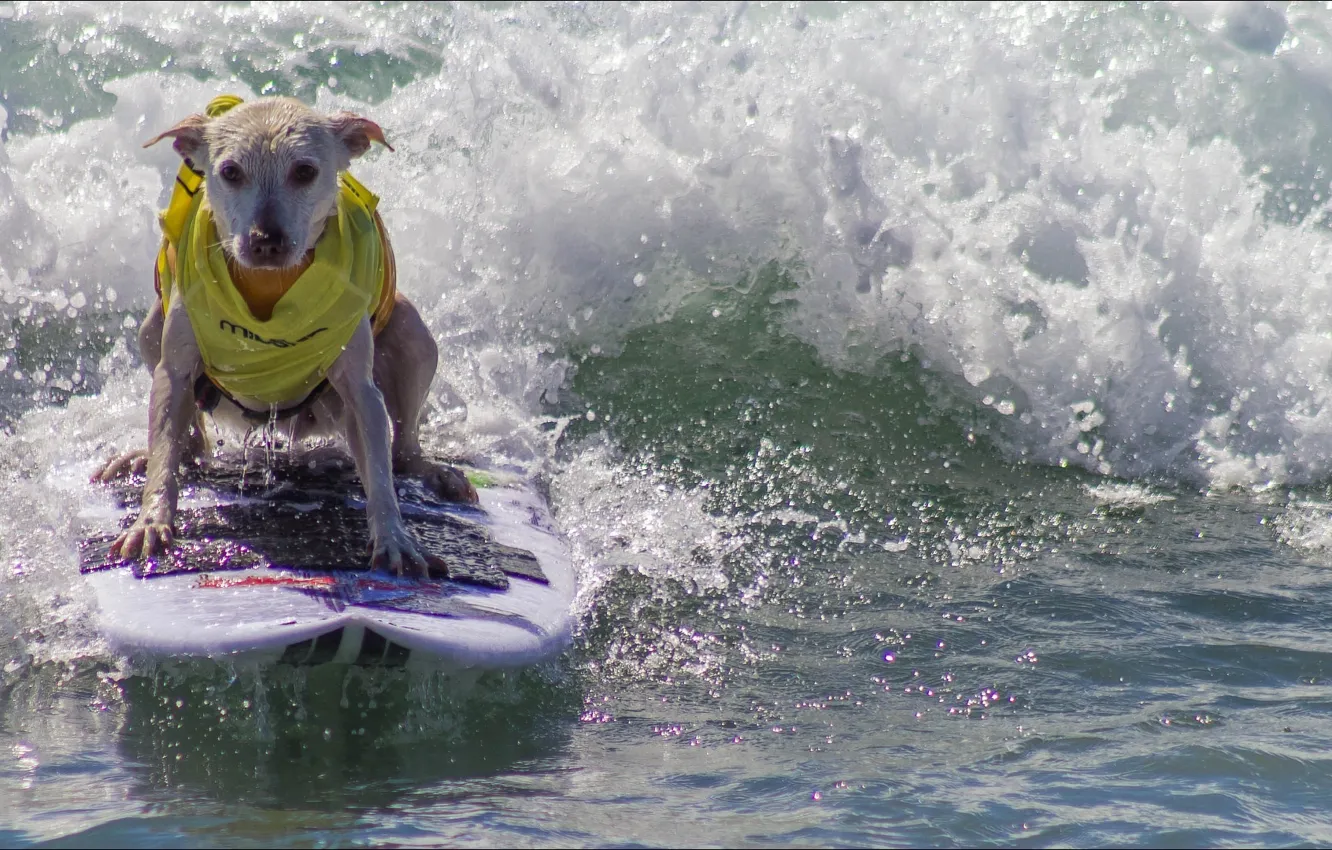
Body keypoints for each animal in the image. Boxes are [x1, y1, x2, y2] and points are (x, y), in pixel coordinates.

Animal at [99, 98, 484, 580]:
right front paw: (150, 522)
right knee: (186, 436)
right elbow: (166, 444)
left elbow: (377, 464)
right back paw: (146, 455)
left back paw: (435, 472)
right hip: (153, 328)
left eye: (304, 171)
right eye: (230, 171)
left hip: (413, 336)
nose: (266, 241)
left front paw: (395, 540)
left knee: (403, 447)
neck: (268, 285)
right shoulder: (175, 370)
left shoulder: (361, 391)